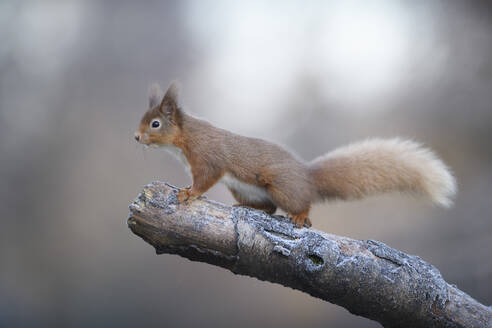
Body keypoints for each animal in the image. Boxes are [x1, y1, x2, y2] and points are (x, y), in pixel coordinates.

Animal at [135, 82, 458, 228]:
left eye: (155, 124)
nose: (136, 137)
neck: (184, 140)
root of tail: (307, 176)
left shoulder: (208, 157)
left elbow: (205, 179)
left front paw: (189, 193)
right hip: (244, 189)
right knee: (268, 208)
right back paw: (250, 208)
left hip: (280, 185)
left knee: (299, 203)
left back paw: (301, 216)